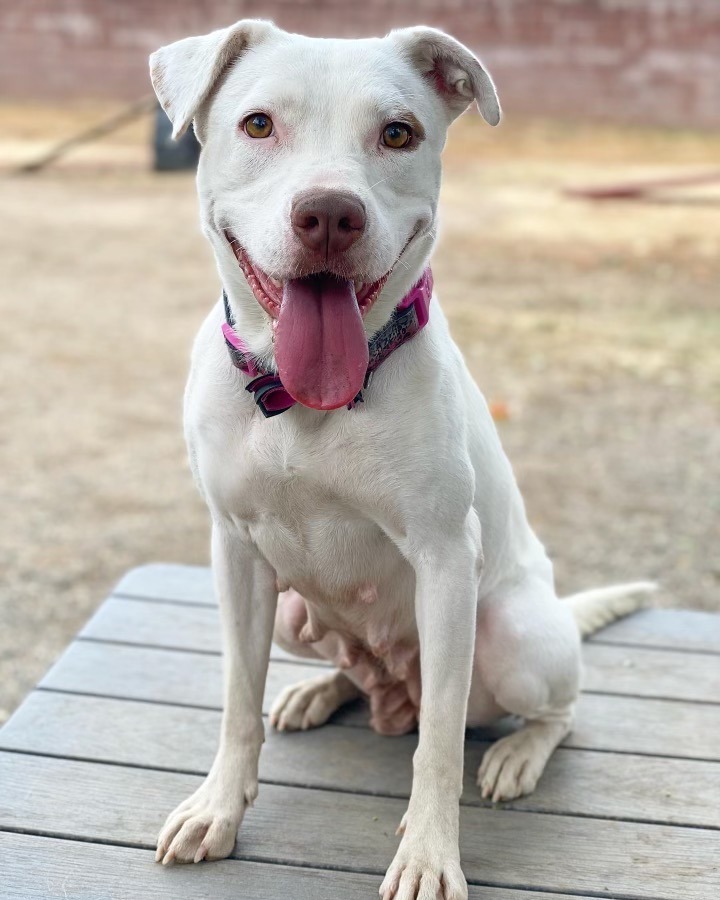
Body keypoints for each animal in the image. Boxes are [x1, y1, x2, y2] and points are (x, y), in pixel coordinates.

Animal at [148, 22, 652, 900]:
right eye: (257, 124)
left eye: (397, 133)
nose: (328, 214)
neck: (305, 403)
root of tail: (393, 693)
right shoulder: (235, 552)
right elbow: (237, 701)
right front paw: (218, 807)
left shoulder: (446, 562)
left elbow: (440, 746)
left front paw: (428, 854)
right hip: (294, 612)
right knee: (350, 671)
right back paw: (322, 689)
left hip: (514, 635)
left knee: (555, 711)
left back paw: (517, 754)